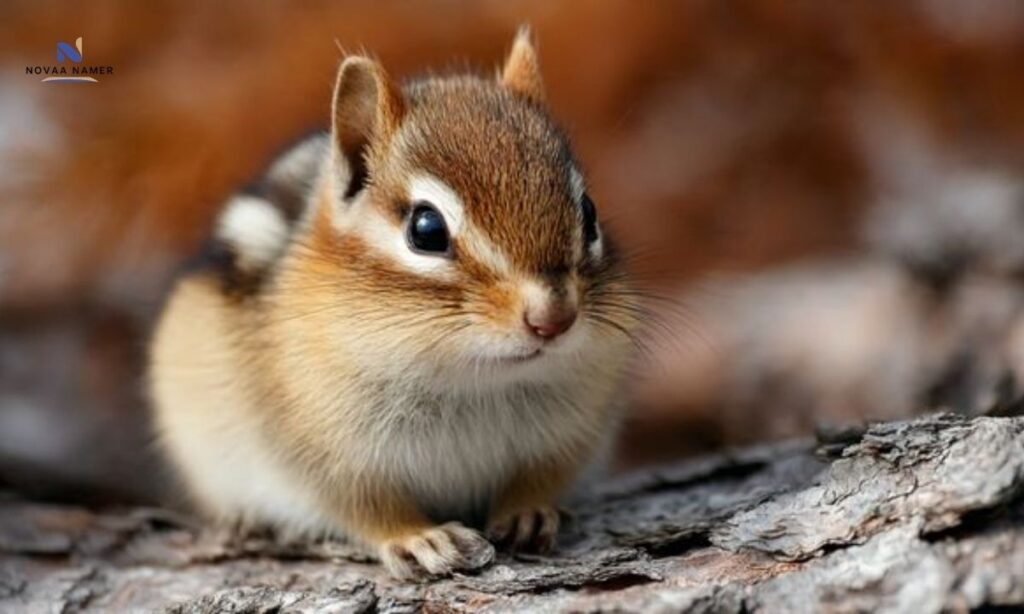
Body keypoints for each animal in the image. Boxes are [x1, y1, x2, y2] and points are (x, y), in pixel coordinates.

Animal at [148, 28, 641, 579]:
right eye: (426, 229)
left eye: (589, 212)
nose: (554, 319)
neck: (471, 383)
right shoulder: (325, 457)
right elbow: (367, 506)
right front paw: (418, 537)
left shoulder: (572, 433)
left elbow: (540, 478)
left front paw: (528, 511)